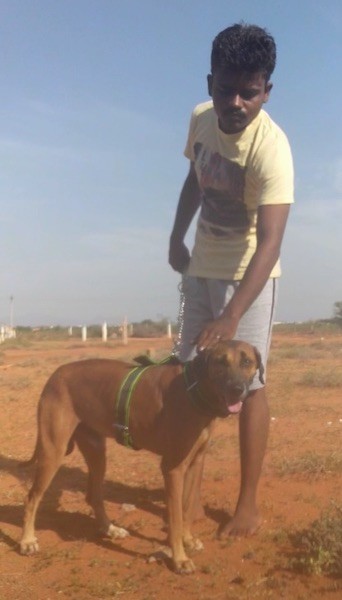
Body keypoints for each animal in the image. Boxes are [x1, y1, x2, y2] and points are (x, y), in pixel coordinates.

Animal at [20, 340, 264, 576]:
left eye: (246, 362)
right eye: (220, 362)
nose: (237, 389)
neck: (194, 388)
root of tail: (56, 373)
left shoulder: (194, 463)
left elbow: (186, 510)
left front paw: (187, 540)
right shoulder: (172, 469)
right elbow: (175, 518)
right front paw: (179, 559)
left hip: (97, 452)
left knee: (94, 495)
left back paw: (110, 529)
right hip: (53, 450)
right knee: (32, 497)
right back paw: (27, 540)